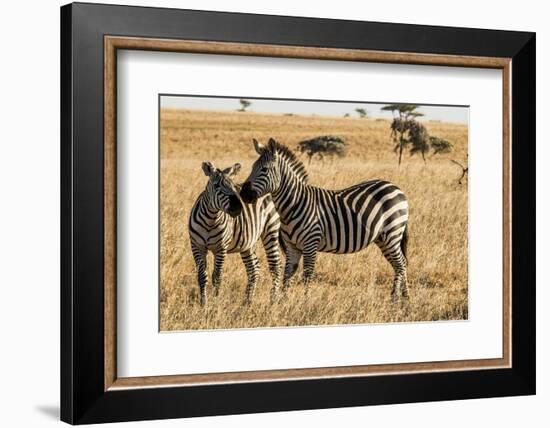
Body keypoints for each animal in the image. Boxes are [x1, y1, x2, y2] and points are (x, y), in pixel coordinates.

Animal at [191, 160, 284, 304]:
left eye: (234, 187)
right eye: (216, 186)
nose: (238, 208)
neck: (210, 220)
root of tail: (269, 190)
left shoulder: (221, 249)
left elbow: (217, 277)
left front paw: (215, 302)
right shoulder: (197, 246)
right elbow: (202, 276)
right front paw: (203, 303)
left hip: (271, 231)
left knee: (275, 267)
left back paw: (272, 301)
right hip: (247, 243)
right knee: (254, 268)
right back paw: (247, 302)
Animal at [239, 139, 412, 300]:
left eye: (264, 169)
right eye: (252, 167)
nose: (243, 194)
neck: (295, 204)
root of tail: (396, 187)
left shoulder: (310, 244)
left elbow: (307, 276)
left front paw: (305, 302)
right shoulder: (292, 247)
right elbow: (287, 275)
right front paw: (283, 301)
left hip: (392, 233)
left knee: (400, 264)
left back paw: (394, 298)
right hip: (383, 238)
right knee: (401, 263)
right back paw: (404, 297)